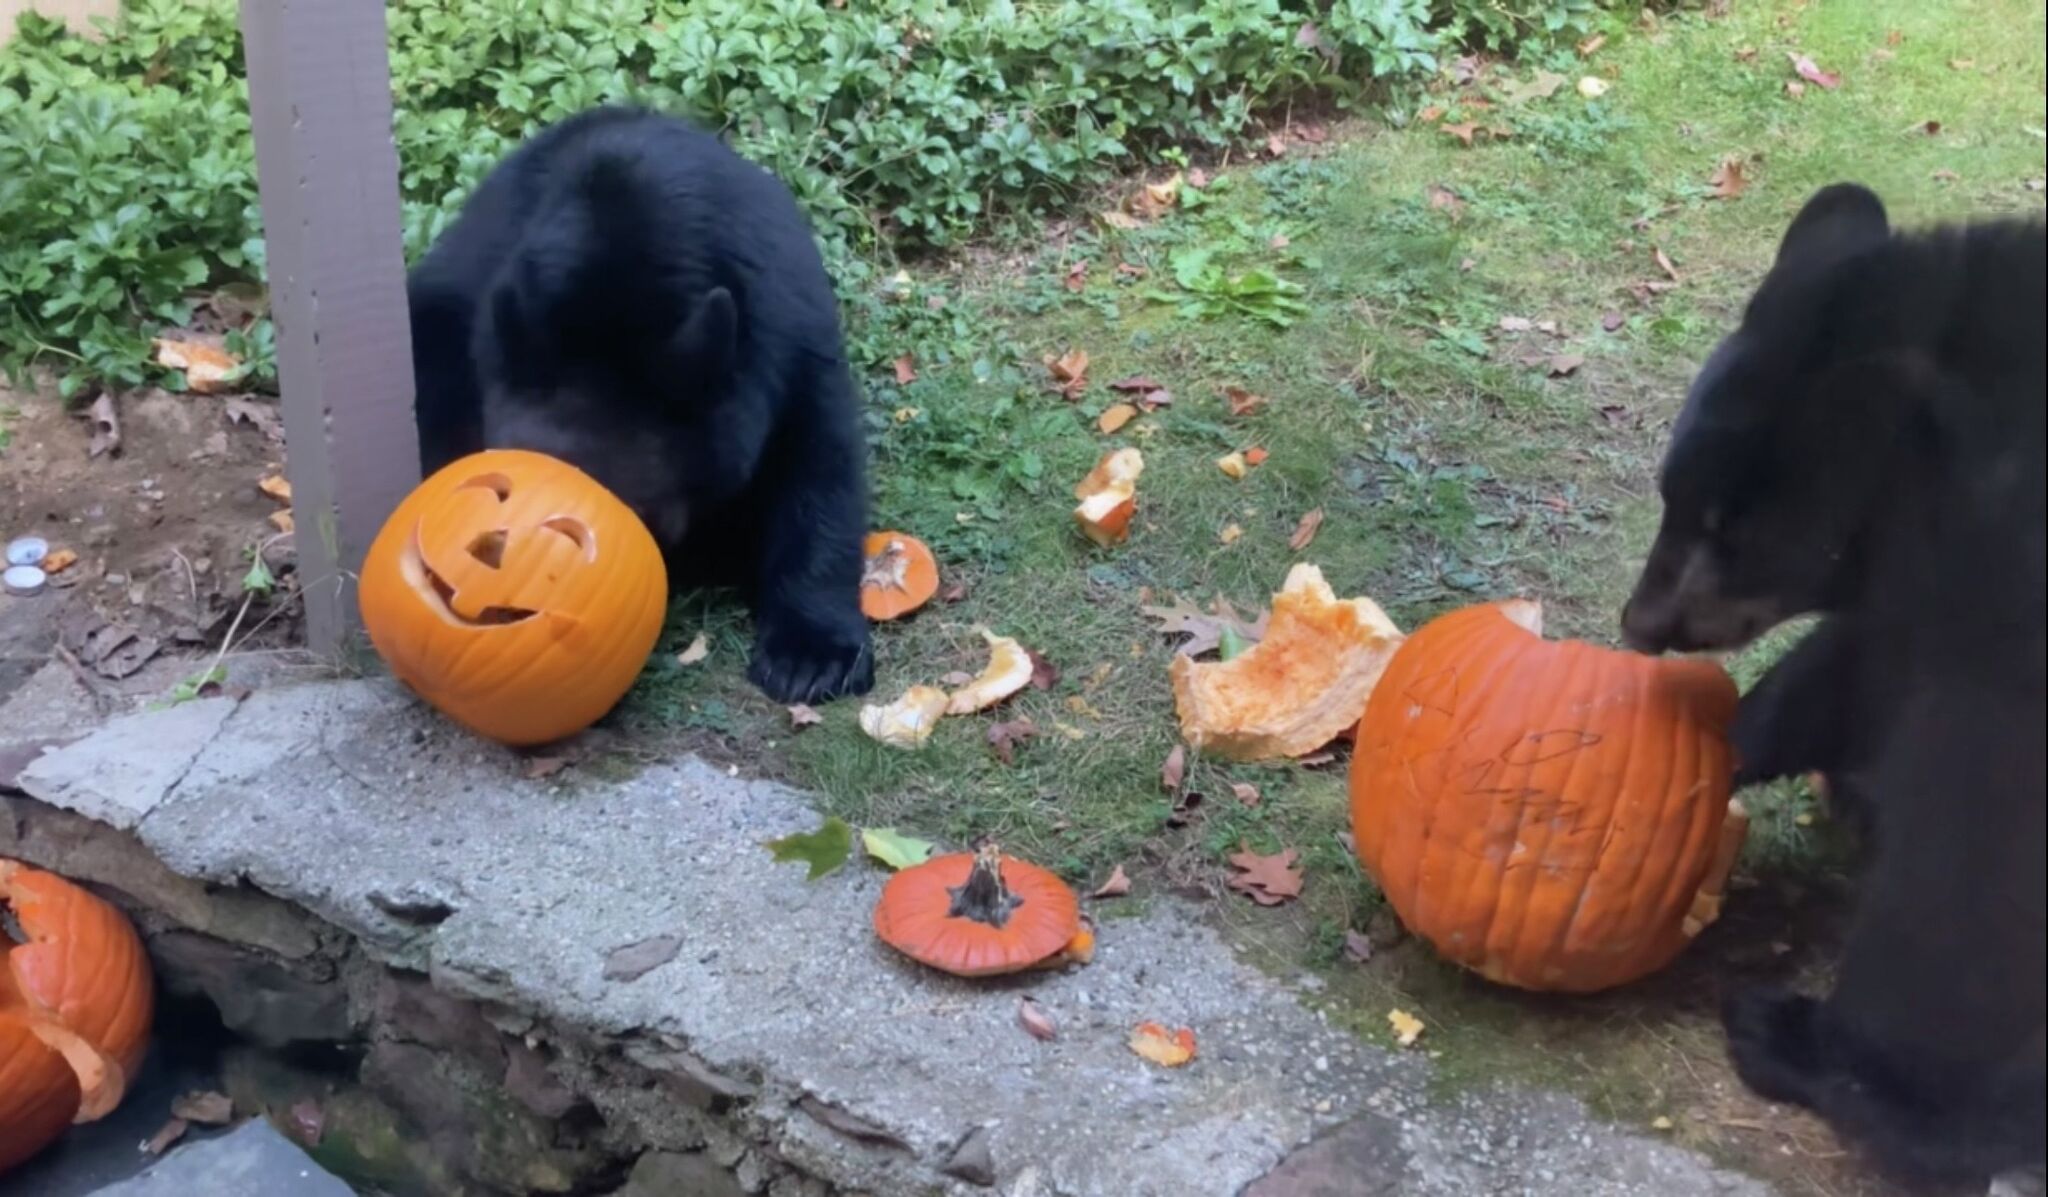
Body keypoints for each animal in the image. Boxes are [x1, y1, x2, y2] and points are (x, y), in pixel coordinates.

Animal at [1621, 182, 2046, 1181]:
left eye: (1732, 532)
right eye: (1668, 495)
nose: (1639, 625)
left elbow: (1972, 847)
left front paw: (1833, 1051)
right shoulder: (1936, 591)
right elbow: (1858, 665)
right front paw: (1717, 746)